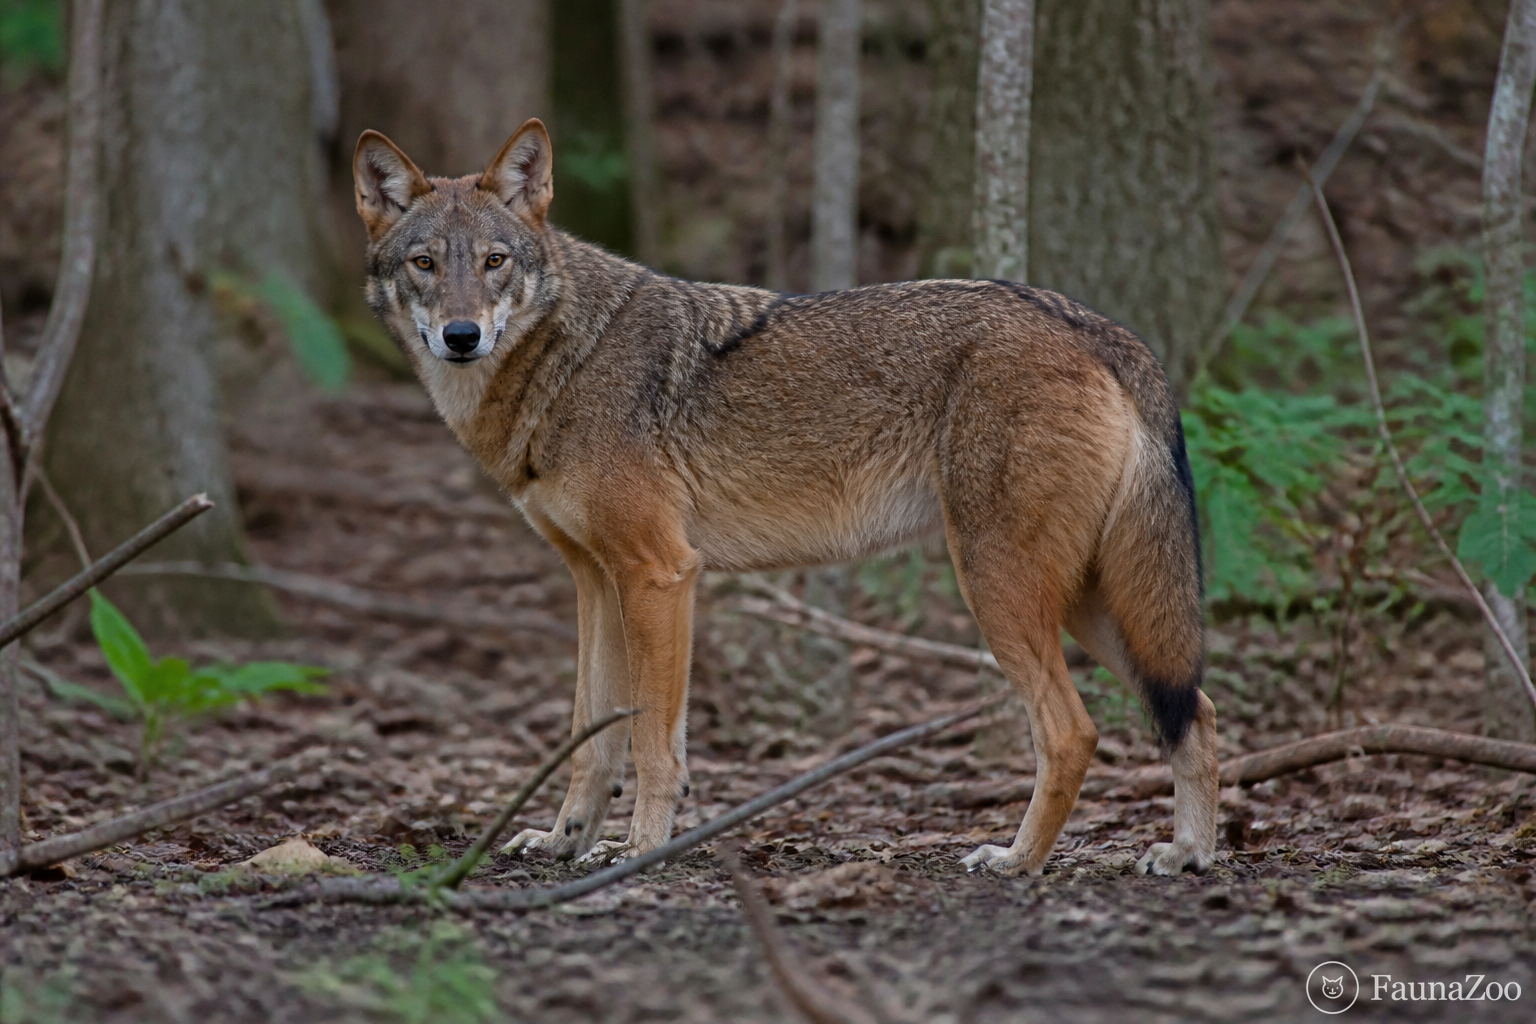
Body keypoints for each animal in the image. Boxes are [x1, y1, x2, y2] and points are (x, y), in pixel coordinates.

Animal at [351, 118, 1219, 877]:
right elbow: (591, 740)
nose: (461, 336)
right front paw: (567, 842)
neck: (565, 361)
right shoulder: (595, 583)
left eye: (495, 260)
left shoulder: (660, 575)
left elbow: (653, 745)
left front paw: (638, 852)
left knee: (1073, 731)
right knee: (1196, 710)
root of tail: (1093, 324)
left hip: (1002, 589)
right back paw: (1188, 854)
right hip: (1091, 605)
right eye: (425, 264)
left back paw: (1017, 862)